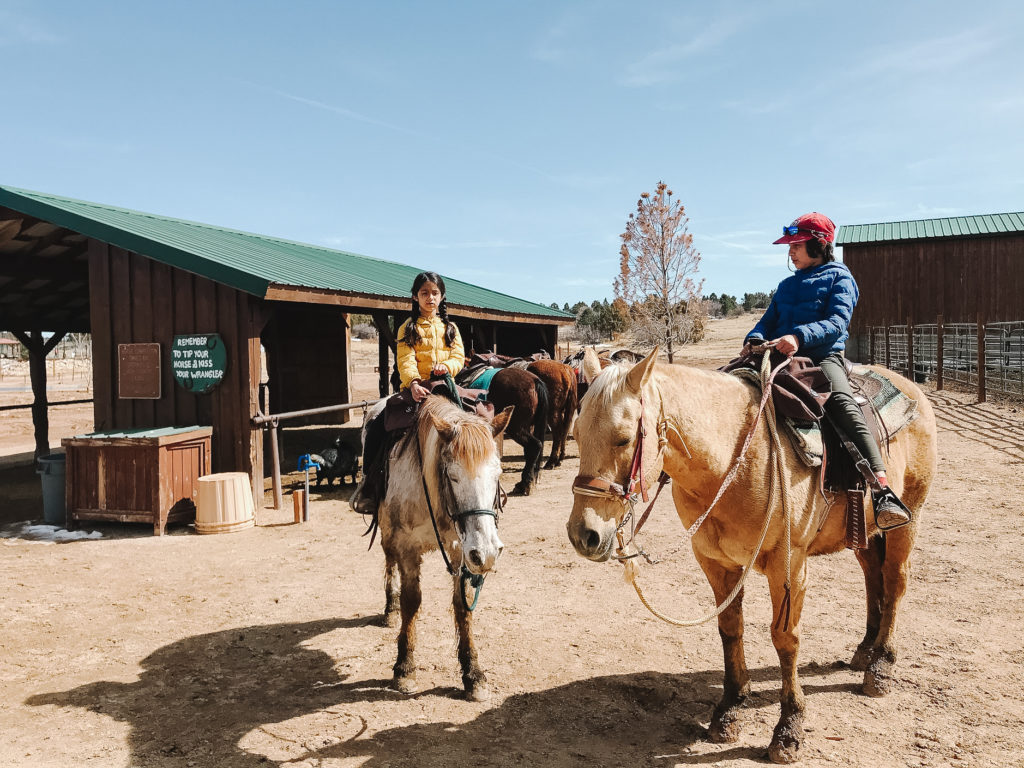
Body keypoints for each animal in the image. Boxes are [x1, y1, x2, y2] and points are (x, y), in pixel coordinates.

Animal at [368, 397, 512, 704]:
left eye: (498, 472)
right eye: (452, 475)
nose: (487, 552)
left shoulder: (462, 549)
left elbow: (462, 605)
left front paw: (473, 674)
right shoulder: (408, 548)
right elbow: (412, 602)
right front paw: (404, 668)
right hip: (387, 531)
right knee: (388, 561)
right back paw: (390, 608)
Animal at [569, 348, 937, 765]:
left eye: (624, 438)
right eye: (576, 434)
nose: (584, 534)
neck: (735, 459)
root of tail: (910, 387)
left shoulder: (788, 564)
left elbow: (785, 638)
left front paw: (789, 729)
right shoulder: (714, 561)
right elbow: (730, 628)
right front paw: (729, 710)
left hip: (908, 520)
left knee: (895, 582)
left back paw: (881, 666)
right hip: (866, 533)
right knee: (872, 576)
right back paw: (864, 650)